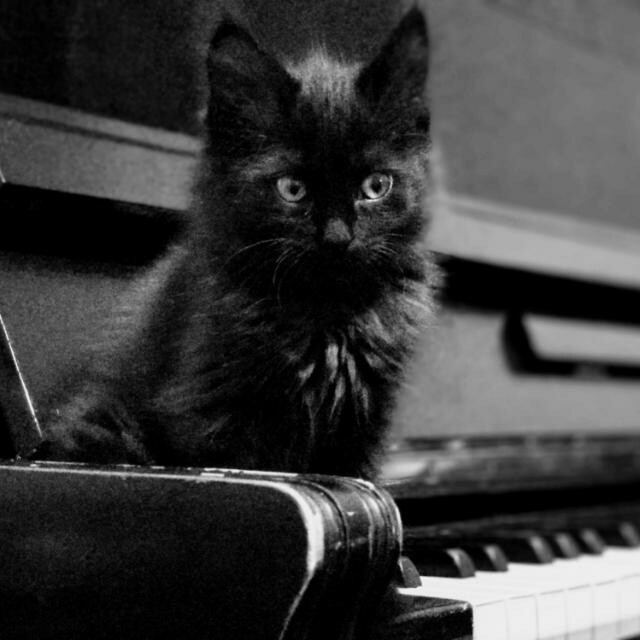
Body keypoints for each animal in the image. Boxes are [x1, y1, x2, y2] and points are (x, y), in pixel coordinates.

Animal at [36, 7, 440, 478]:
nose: (338, 237)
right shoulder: (213, 415)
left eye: (376, 186)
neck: (327, 312)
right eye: (292, 189)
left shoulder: (364, 427)